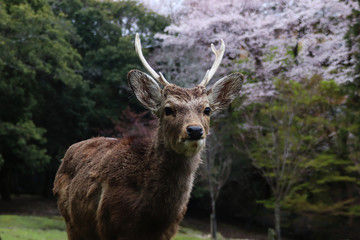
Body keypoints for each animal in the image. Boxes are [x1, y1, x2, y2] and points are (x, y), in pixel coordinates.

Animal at [52, 33, 245, 240]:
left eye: (207, 109)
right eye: (168, 109)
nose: (194, 130)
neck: (150, 218)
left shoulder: (167, 232)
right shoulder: (108, 227)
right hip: (72, 222)